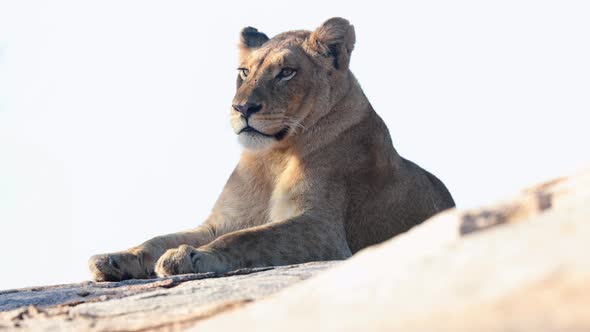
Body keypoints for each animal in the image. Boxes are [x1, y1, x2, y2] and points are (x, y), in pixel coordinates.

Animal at [89, 18, 458, 282]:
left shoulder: (324, 230)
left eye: (286, 73)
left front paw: (192, 256)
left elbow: (248, 238)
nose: (242, 108)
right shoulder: (222, 221)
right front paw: (114, 258)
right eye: (244, 72)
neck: (274, 156)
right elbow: (159, 238)